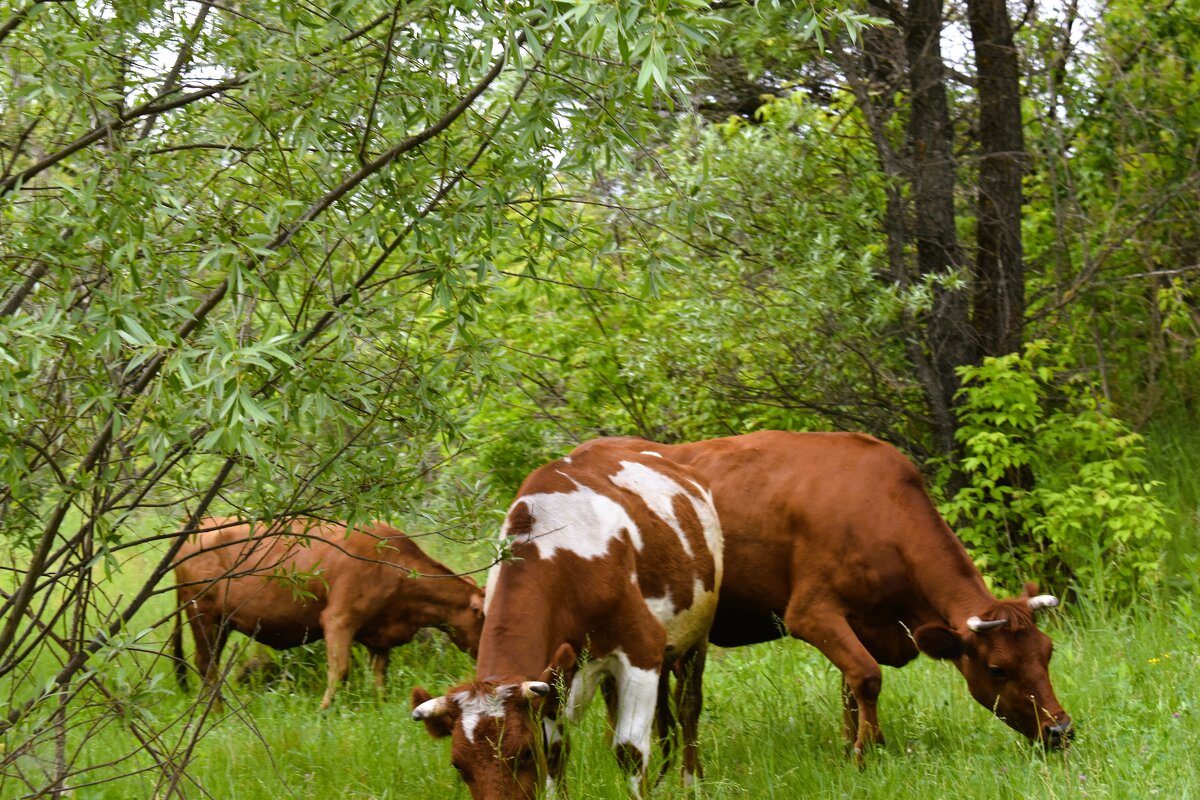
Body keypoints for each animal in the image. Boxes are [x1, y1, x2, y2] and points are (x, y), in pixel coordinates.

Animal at [174, 515, 482, 710]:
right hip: (203, 614)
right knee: (206, 664)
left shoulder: (380, 637)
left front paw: (381, 704)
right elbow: (340, 668)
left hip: (221, 623)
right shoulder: (338, 619)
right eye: (484, 617)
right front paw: (324, 709)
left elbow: (379, 676)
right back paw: (215, 711)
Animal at [410, 441, 720, 796]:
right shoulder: (553, 677)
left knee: (688, 705)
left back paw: (691, 783)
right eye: (459, 766)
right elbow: (556, 754)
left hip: (696, 635)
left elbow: (629, 751)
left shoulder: (642, 649)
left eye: (524, 753)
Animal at [585, 434, 1075, 762]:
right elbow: (868, 675)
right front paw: (867, 750)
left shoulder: (863, 623)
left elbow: (851, 685)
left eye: (1047, 652)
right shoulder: (809, 612)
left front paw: (850, 744)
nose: (1061, 731)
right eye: (997, 668)